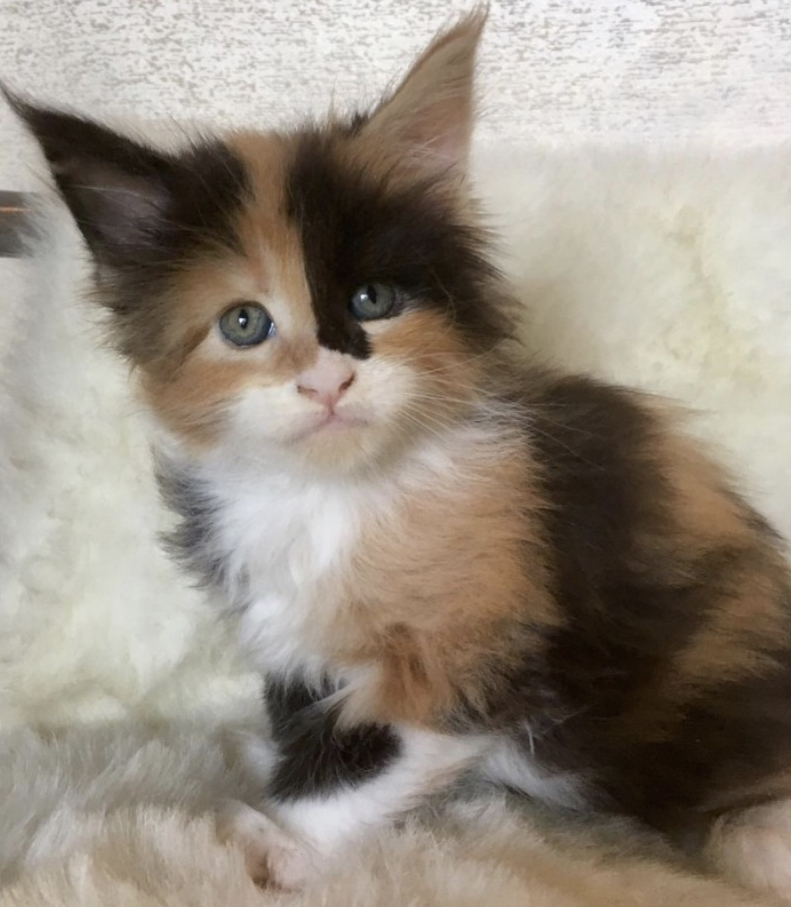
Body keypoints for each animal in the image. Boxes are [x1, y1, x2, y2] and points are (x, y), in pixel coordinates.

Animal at [7, 8, 791, 900]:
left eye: (370, 300)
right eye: (244, 322)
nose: (327, 380)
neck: (334, 499)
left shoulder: (472, 635)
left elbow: (388, 744)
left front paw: (283, 838)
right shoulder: (292, 624)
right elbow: (306, 705)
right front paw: (274, 764)